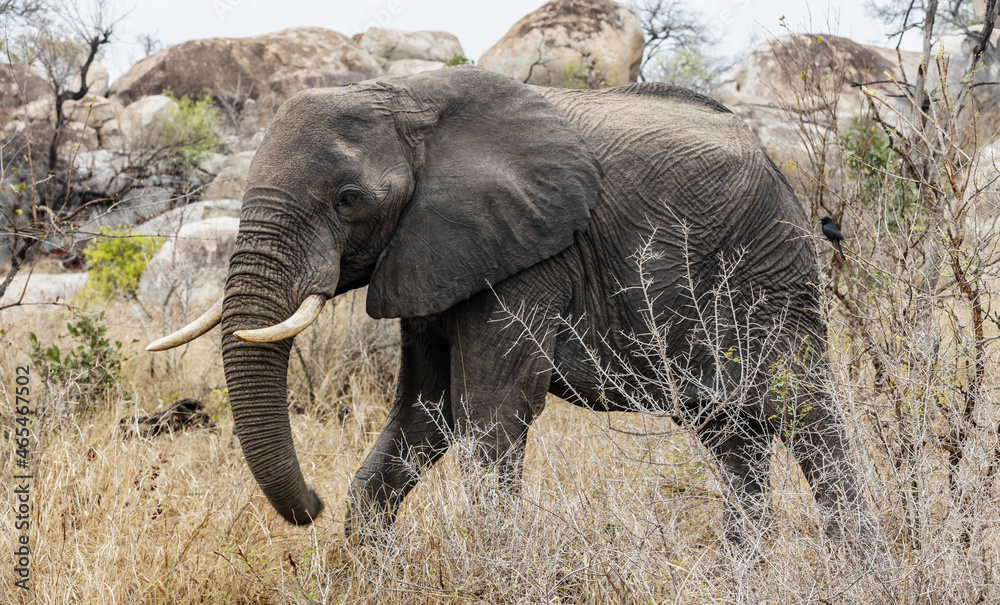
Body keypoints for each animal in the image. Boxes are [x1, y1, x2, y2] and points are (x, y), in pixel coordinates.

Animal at [147, 66, 868, 544]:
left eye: (349, 200)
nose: (313, 503)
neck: (406, 100)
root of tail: (772, 161)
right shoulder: (431, 252)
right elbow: (425, 412)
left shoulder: (535, 256)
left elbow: (493, 408)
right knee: (730, 434)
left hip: (772, 270)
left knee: (804, 412)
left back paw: (854, 561)